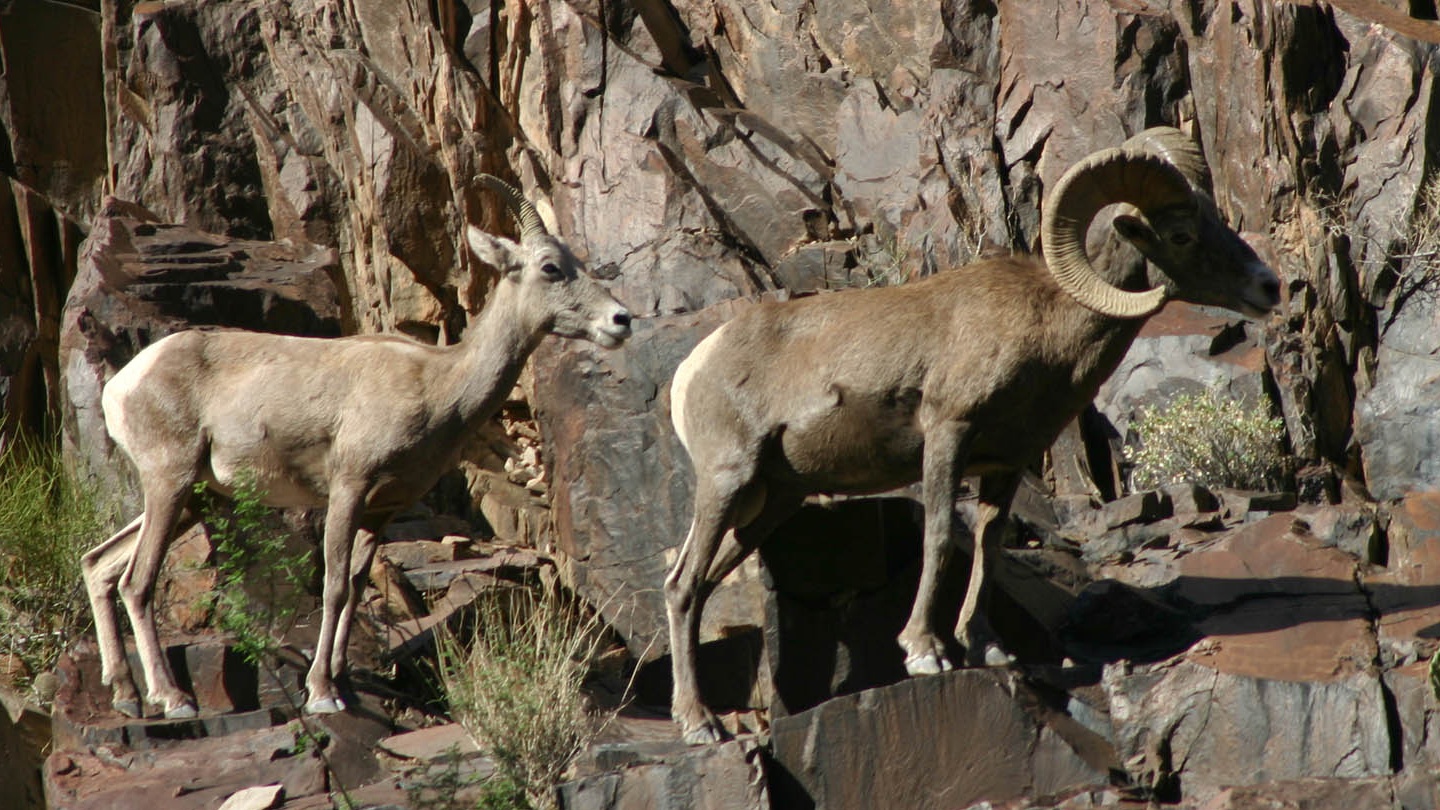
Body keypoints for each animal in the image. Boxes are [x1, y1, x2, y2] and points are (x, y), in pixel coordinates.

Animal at [84, 175, 630, 711]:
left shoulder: (380, 511)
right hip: (169, 480)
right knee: (136, 581)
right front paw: (323, 695)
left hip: (193, 495)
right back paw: (171, 698)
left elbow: (354, 587)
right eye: (550, 267)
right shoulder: (348, 489)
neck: (439, 384)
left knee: (99, 565)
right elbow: (333, 586)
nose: (621, 321)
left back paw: (125, 694)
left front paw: (343, 683)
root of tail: (122, 386)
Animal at [665, 128, 1284, 743]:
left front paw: (987, 648)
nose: (1269, 286)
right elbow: (940, 537)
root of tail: (695, 366)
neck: (1046, 328)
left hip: (773, 501)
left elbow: (988, 547)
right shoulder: (948, 434)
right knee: (683, 586)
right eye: (1181, 234)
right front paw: (926, 653)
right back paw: (701, 726)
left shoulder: (1006, 464)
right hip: (728, 481)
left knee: (699, 587)